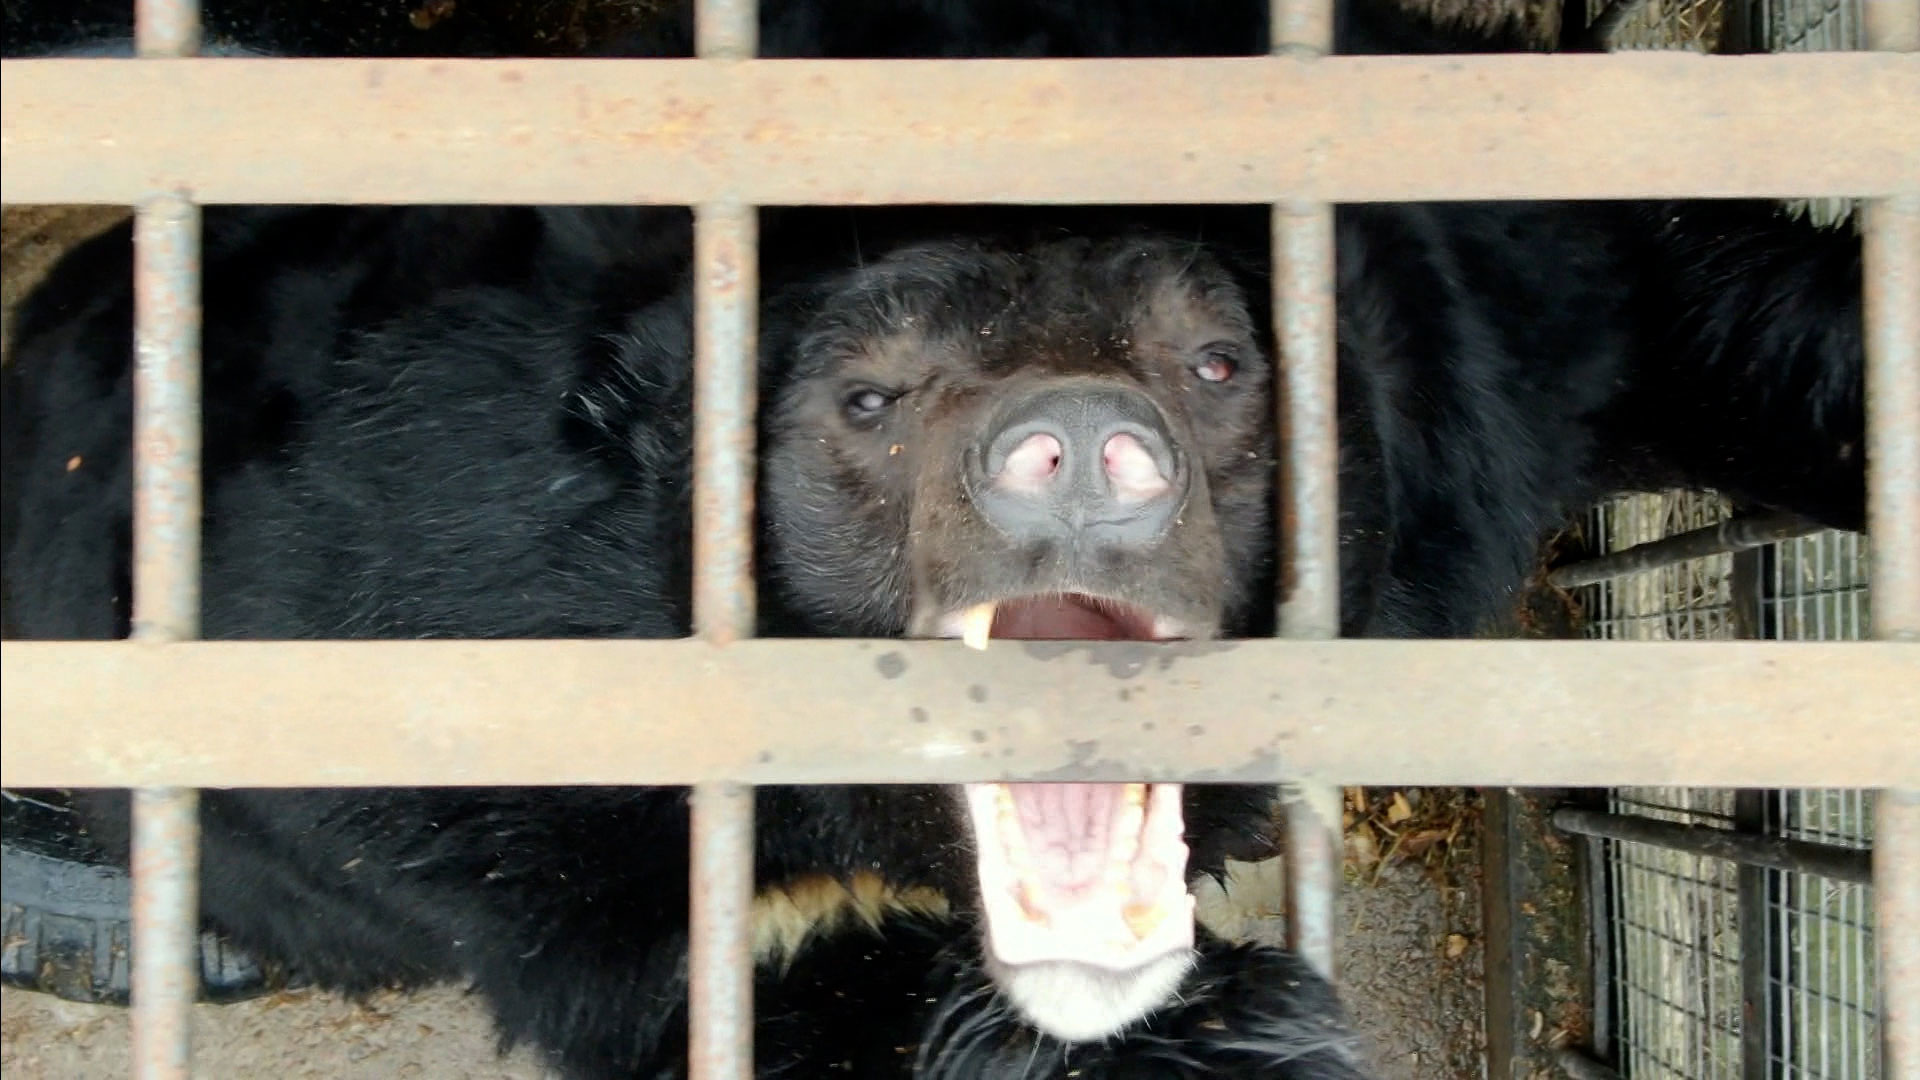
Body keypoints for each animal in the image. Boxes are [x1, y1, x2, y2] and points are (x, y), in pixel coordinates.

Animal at [0, 2, 1858, 1076]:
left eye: (1218, 361)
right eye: (871, 399)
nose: (1082, 454)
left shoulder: (1474, 304)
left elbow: (1662, 287)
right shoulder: (459, 685)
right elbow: (717, 970)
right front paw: (1230, 1032)